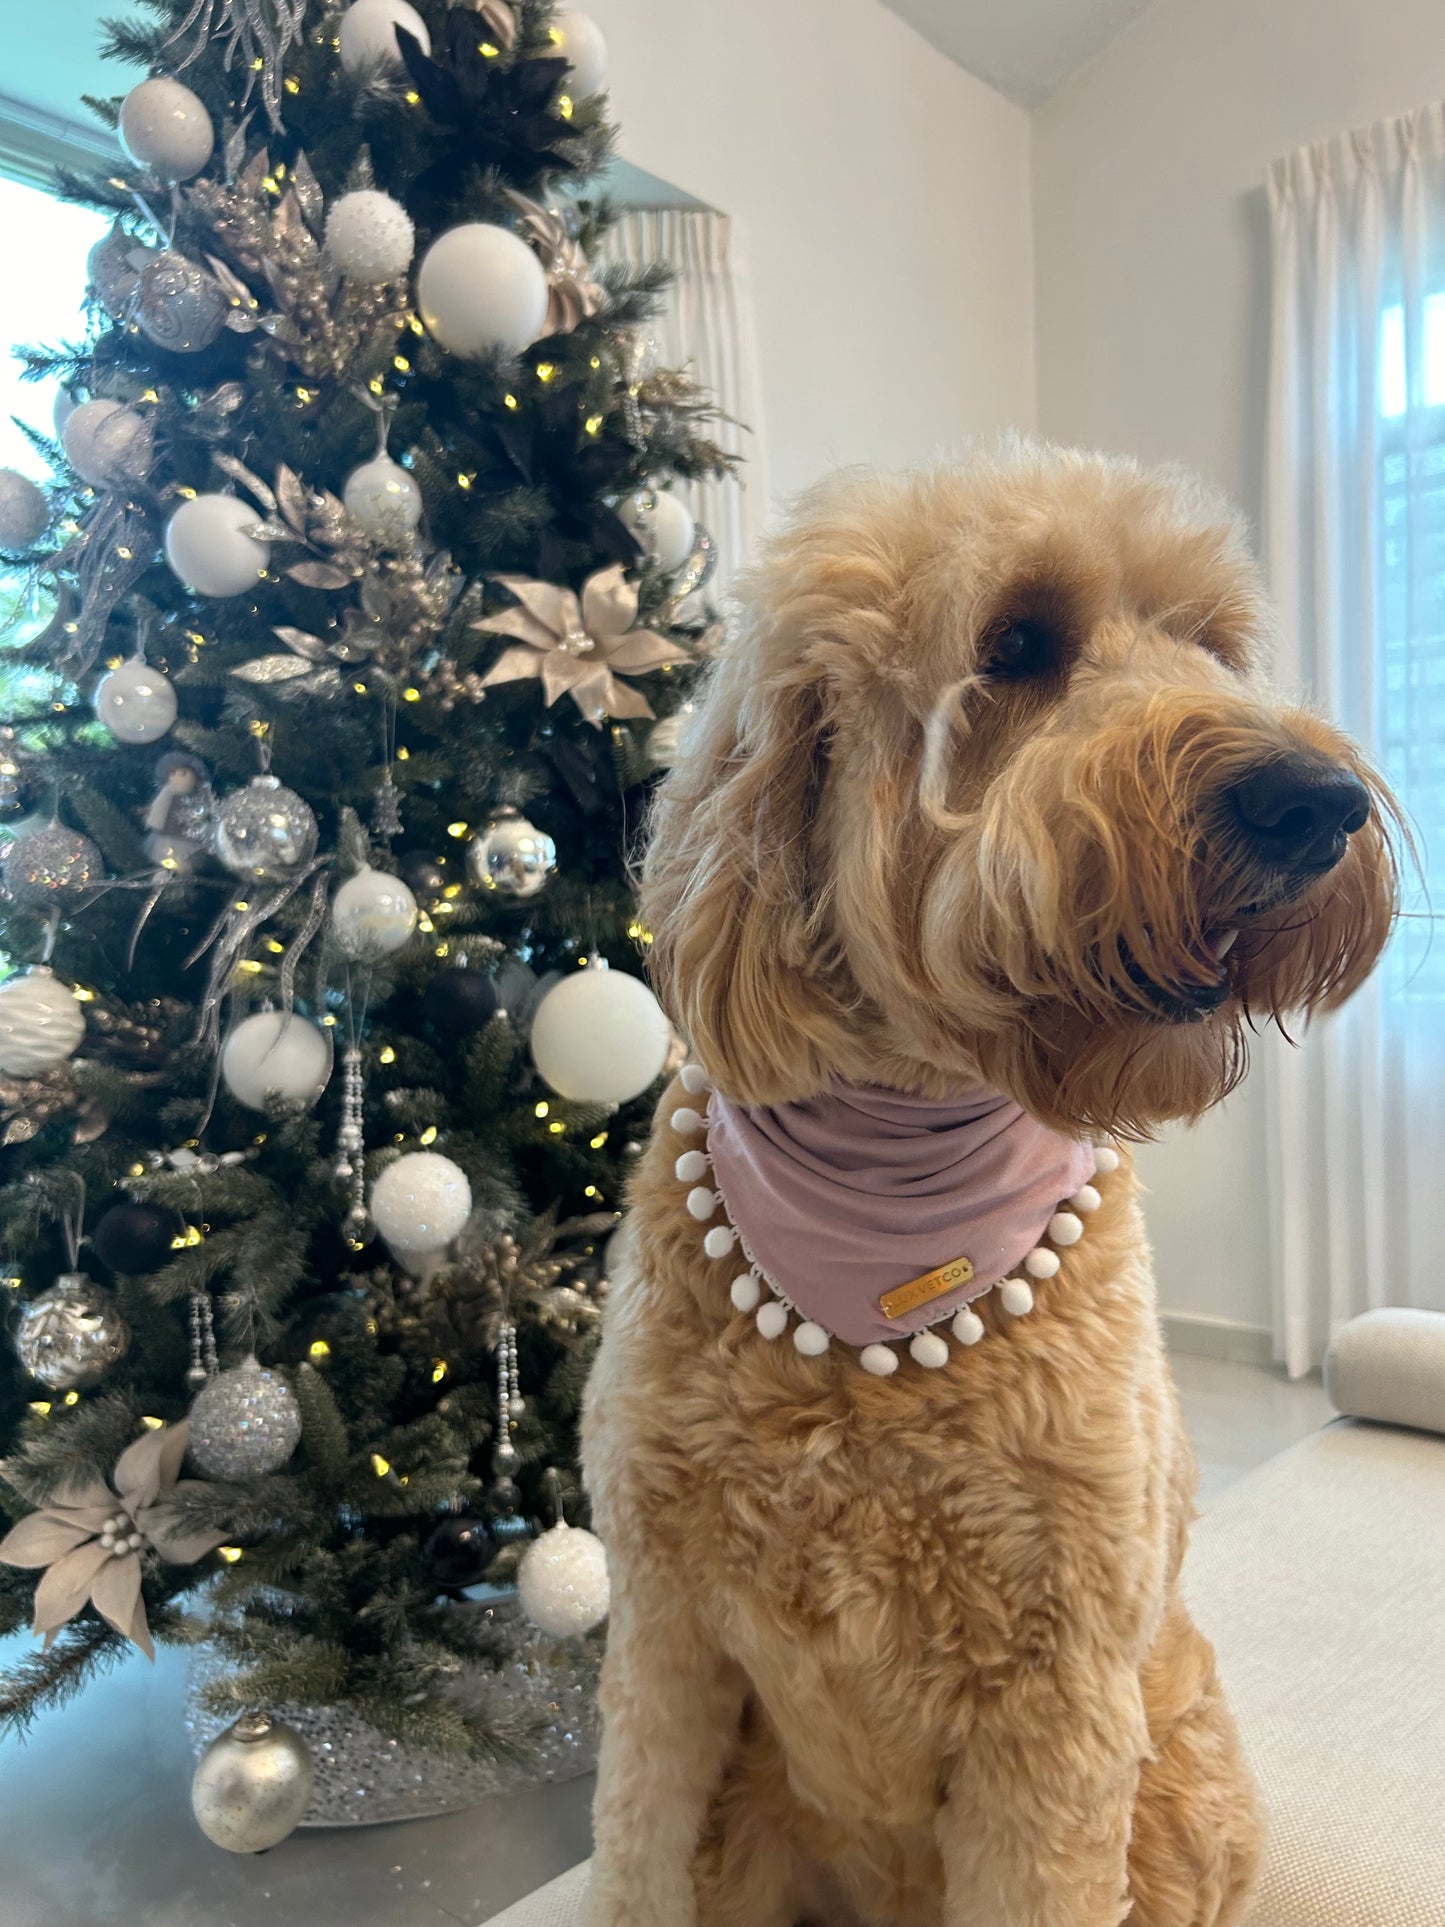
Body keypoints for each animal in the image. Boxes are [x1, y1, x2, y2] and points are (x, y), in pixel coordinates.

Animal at [578, 443, 1402, 1919]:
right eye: (1016, 643)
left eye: (1212, 645)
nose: (1319, 803)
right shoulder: (664, 1650)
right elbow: (630, 1859)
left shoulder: (1057, 1705)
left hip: (1178, 1789)